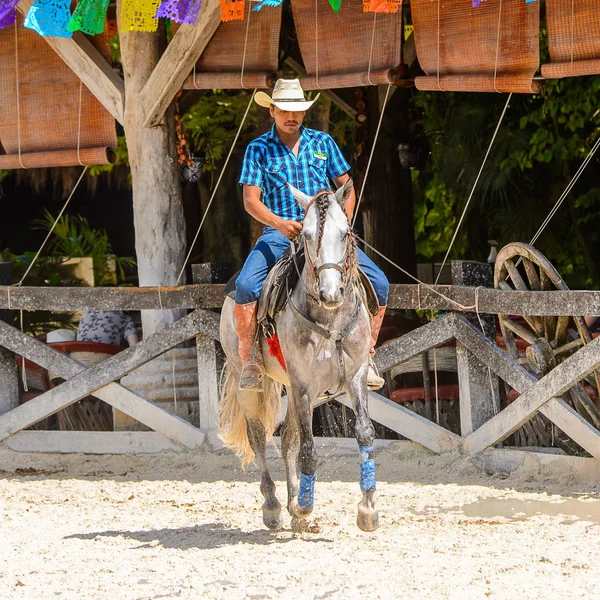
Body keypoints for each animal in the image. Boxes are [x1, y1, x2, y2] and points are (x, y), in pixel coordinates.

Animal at [218, 180, 378, 532]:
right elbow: (307, 449)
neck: (330, 320)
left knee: (288, 437)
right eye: (305, 233)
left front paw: (367, 509)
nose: (330, 293)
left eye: (345, 232)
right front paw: (305, 506)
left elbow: (363, 433)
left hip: (289, 387)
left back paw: (293, 508)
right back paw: (275, 507)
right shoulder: (304, 384)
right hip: (252, 381)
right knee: (259, 437)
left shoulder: (355, 375)